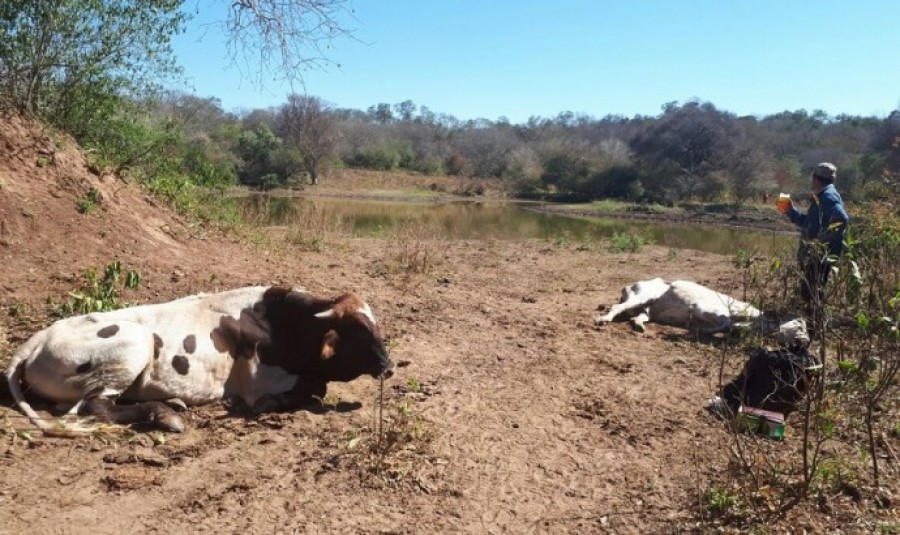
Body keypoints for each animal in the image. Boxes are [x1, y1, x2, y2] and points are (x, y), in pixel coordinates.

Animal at [3, 288, 392, 436]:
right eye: (360, 333)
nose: (389, 366)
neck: (281, 325)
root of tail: (40, 337)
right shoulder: (259, 383)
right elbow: (315, 388)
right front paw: (273, 403)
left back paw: (171, 402)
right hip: (135, 345)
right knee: (95, 407)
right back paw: (164, 414)